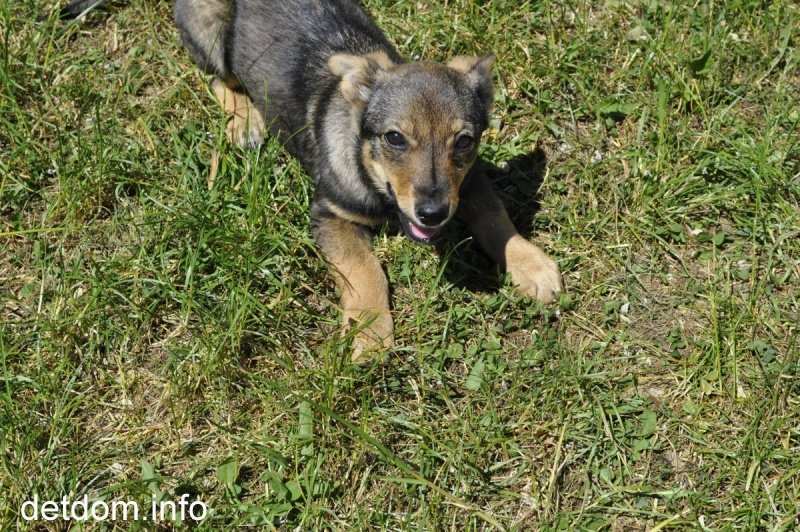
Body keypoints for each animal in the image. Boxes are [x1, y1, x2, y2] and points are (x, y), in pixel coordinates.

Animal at [64, 0, 561, 363]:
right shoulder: (329, 215)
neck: (373, 177)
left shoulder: (469, 182)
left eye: (464, 141)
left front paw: (532, 266)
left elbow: (496, 219)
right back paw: (245, 122)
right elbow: (366, 269)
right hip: (212, 34)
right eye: (394, 138)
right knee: (220, 80)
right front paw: (371, 336)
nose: (433, 213)